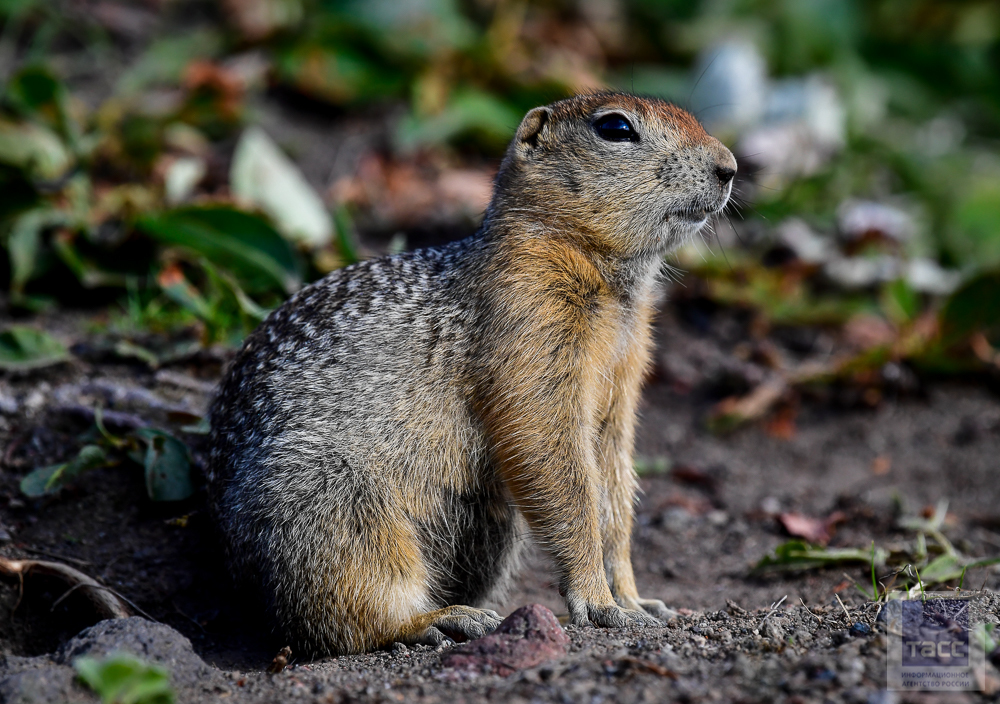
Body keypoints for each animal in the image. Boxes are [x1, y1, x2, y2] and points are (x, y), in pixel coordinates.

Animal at [207, 92, 736, 656]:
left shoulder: (624, 379)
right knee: (343, 617)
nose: (729, 166)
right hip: (333, 503)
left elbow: (613, 492)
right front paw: (599, 602)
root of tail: (233, 575)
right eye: (615, 128)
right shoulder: (530, 325)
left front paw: (637, 600)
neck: (604, 276)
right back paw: (441, 619)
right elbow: (556, 462)